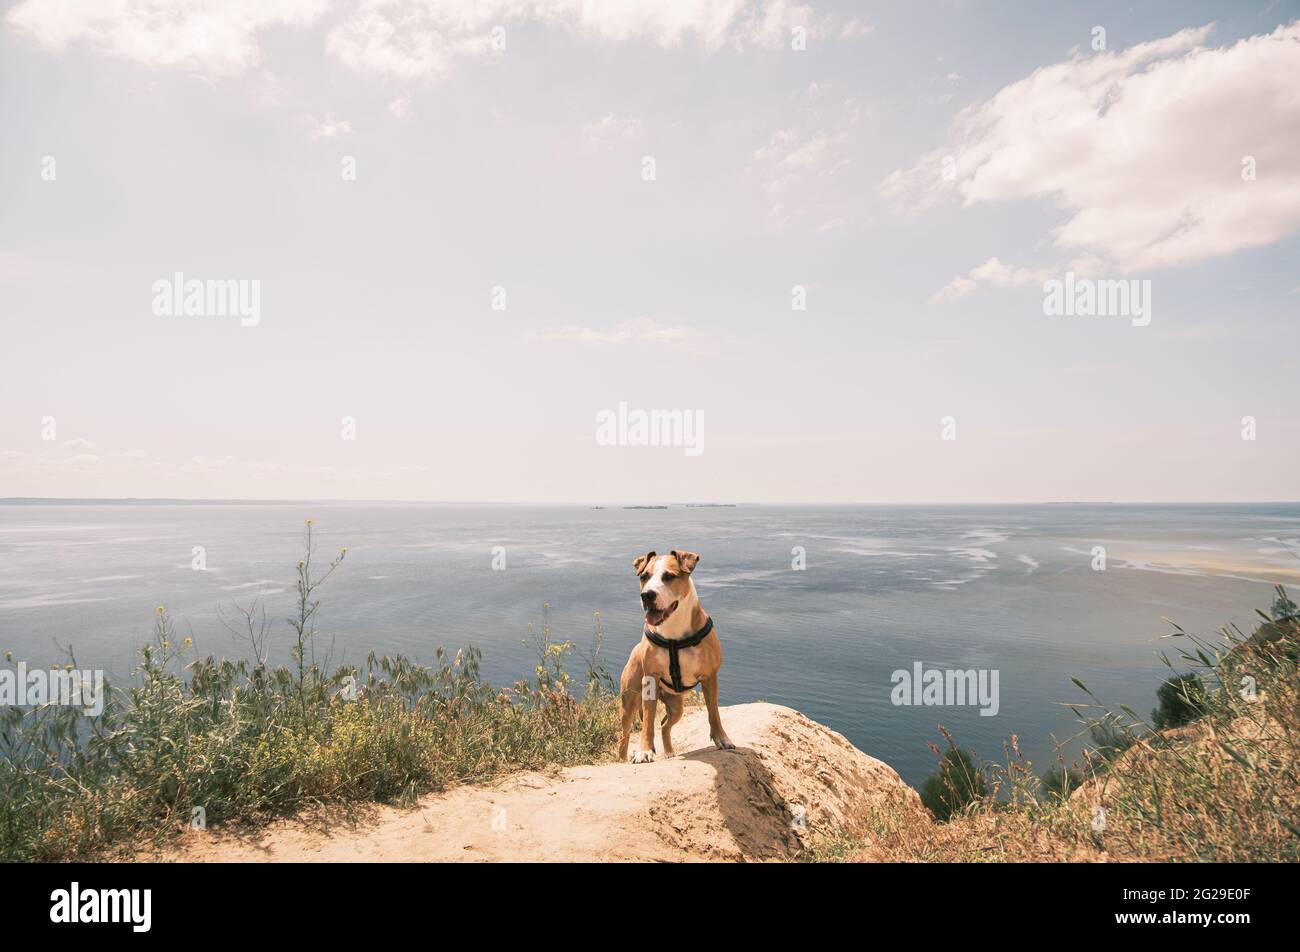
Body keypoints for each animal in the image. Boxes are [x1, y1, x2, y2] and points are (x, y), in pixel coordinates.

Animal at [616, 546, 733, 764]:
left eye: (669, 576)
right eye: (644, 576)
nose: (647, 595)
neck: (673, 633)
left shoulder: (710, 677)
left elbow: (713, 712)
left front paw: (722, 739)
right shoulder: (650, 679)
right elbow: (648, 722)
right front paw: (644, 750)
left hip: (677, 705)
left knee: (664, 725)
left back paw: (670, 753)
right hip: (629, 701)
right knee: (625, 734)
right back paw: (621, 759)